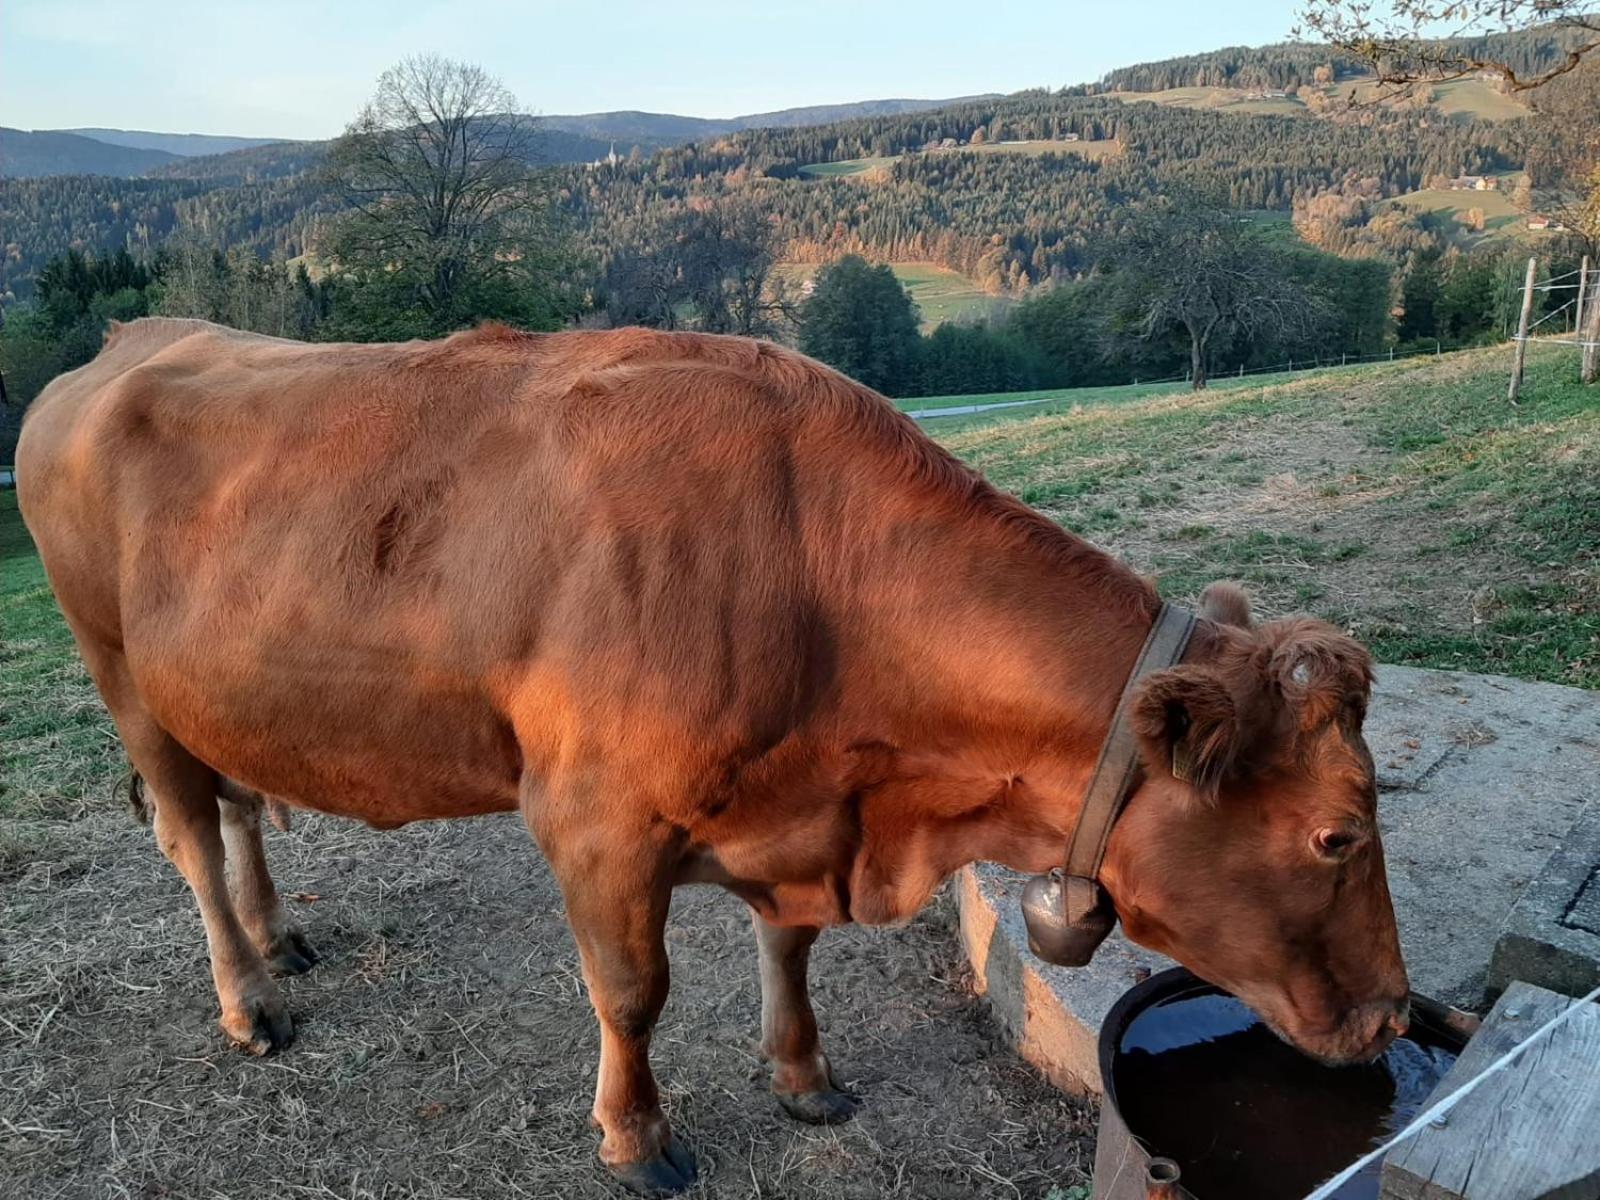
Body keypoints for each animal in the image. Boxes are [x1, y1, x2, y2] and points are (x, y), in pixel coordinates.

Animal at [18, 316, 1408, 1196]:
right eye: (1337, 833)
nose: (1395, 1013)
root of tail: (129, 340)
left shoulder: (794, 810)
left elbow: (787, 949)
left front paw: (804, 1076)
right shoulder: (596, 821)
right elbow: (633, 993)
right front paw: (636, 1141)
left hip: (216, 691)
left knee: (238, 807)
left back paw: (279, 937)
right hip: (119, 674)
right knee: (190, 835)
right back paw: (249, 1000)